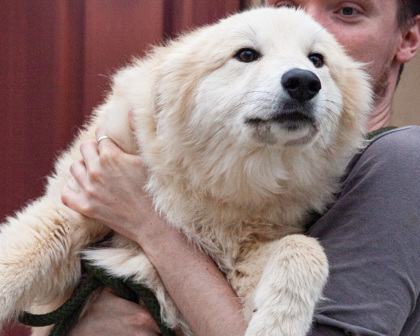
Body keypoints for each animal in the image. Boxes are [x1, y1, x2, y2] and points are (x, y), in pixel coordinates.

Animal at [0, 7, 370, 336]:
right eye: (246, 54)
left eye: (317, 60)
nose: (303, 82)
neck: (225, 181)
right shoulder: (74, 203)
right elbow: (18, 259)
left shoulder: (241, 260)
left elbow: (304, 247)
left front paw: (277, 323)